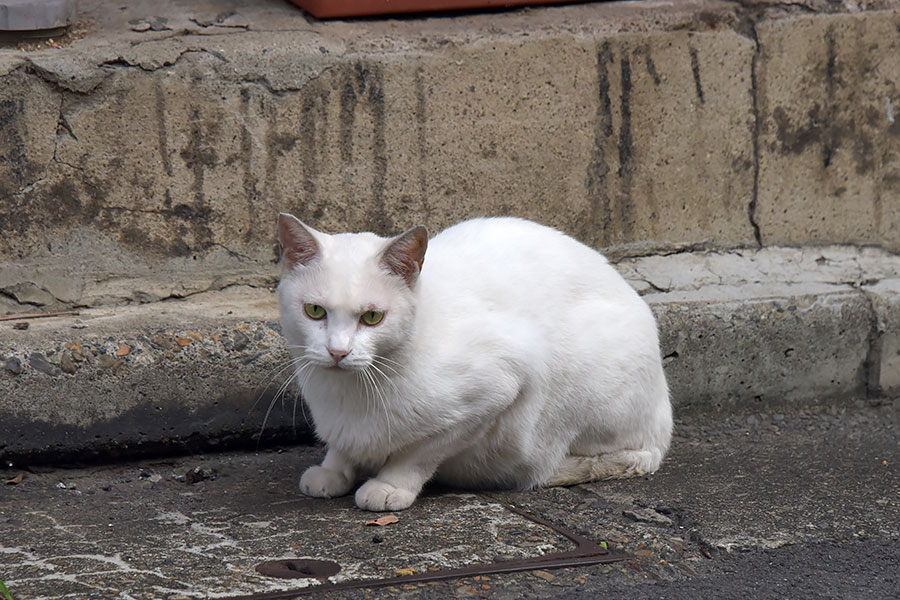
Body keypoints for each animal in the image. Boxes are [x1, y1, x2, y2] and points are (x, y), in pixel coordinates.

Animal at [278, 216, 672, 510]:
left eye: (372, 317)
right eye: (315, 311)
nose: (338, 351)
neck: (348, 393)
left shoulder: (495, 391)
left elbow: (418, 454)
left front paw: (390, 486)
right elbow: (342, 446)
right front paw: (334, 471)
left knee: (624, 457)